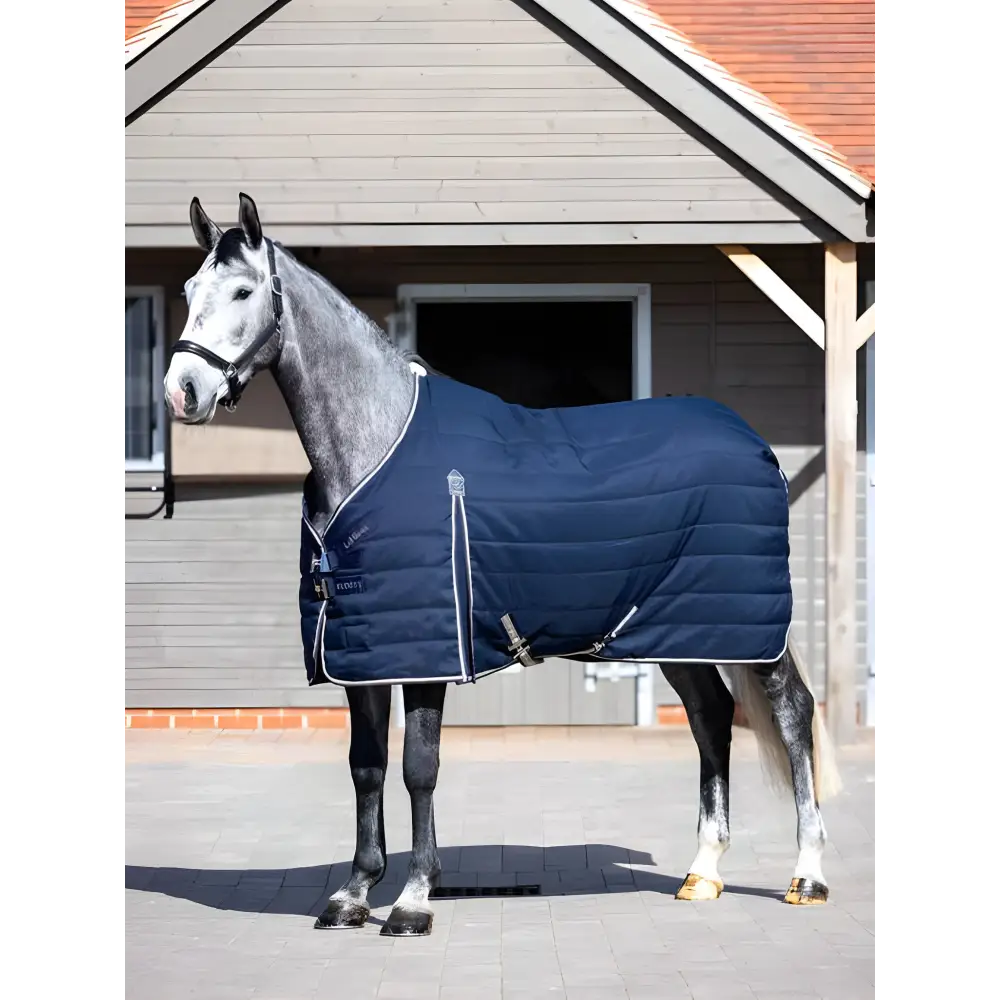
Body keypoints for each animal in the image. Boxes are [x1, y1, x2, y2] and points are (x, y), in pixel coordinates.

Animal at [162, 193, 836, 936]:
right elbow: (366, 767)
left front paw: (413, 899)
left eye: (244, 291)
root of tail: (751, 440)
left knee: (791, 711)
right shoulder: (360, 653)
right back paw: (703, 872)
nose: (182, 390)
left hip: (748, 629)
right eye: (189, 291)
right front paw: (354, 892)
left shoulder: (427, 654)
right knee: (711, 717)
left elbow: (418, 768)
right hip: (677, 630)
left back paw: (807, 874)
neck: (376, 448)